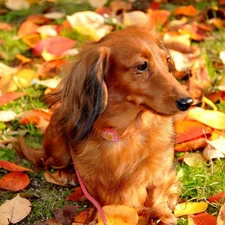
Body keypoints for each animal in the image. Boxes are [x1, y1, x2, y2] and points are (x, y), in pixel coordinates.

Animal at [17, 26, 193, 225]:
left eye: (167, 60)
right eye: (142, 66)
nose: (187, 102)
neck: (126, 131)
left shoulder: (162, 173)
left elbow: (155, 194)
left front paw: (161, 214)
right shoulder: (92, 180)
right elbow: (100, 198)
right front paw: (98, 215)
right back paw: (66, 173)